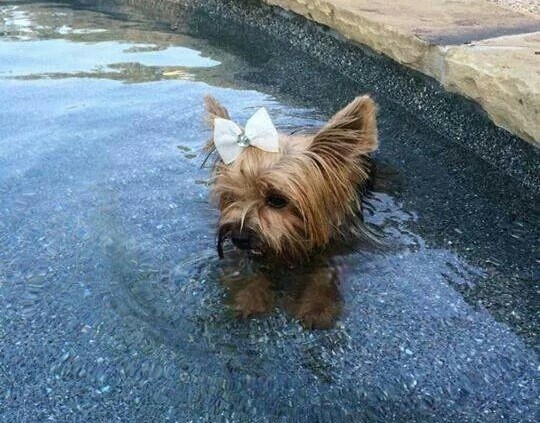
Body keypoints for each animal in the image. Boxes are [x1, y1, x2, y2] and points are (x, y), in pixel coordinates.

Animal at [201, 94, 376, 330]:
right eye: (231, 196)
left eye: (277, 199)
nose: (238, 238)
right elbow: (251, 269)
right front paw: (248, 297)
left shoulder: (336, 244)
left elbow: (324, 272)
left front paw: (318, 307)